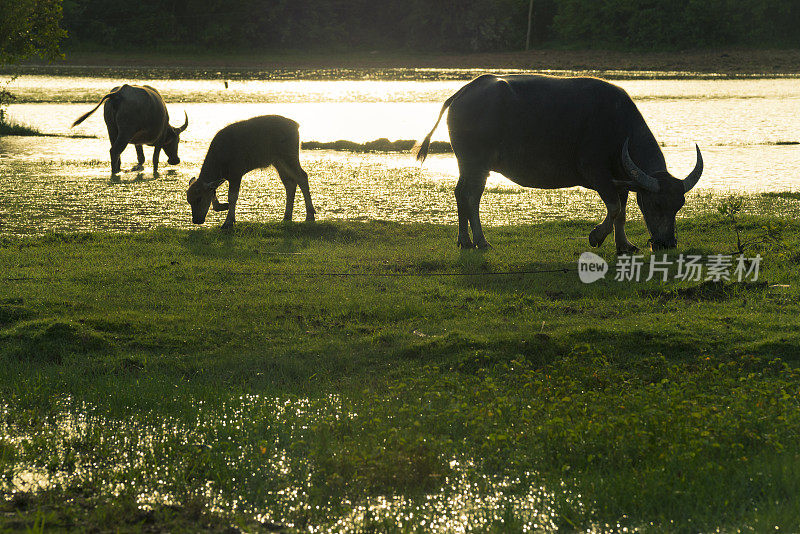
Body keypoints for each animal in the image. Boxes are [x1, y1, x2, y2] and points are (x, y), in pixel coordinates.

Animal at [186, 116, 314, 229]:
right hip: (278, 162)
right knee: (290, 183)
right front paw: (225, 209)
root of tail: (296, 125)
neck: (220, 159)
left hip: (289, 156)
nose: (196, 220)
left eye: (199, 198)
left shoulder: (236, 173)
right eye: (189, 200)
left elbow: (232, 197)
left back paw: (310, 215)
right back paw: (287, 217)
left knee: (302, 177)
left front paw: (228, 222)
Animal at [416, 74, 704, 255]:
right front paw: (596, 236)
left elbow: (621, 212)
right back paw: (480, 241)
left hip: (468, 164)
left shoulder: (621, 180)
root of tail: (463, 92)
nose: (667, 243)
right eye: (654, 204)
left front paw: (624, 245)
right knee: (471, 196)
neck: (618, 126)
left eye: (679, 205)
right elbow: (612, 209)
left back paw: (464, 241)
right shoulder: (597, 174)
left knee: (460, 193)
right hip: (475, 163)